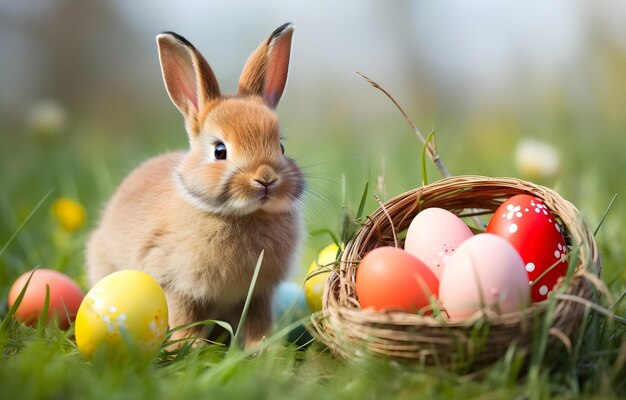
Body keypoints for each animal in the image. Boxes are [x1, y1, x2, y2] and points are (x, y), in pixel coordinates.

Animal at [86, 21, 304, 348]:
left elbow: (258, 321)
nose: (266, 179)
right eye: (219, 151)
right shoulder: (177, 286)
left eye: (280, 147)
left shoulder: (258, 295)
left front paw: (263, 349)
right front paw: (188, 347)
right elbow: (184, 318)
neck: (241, 215)